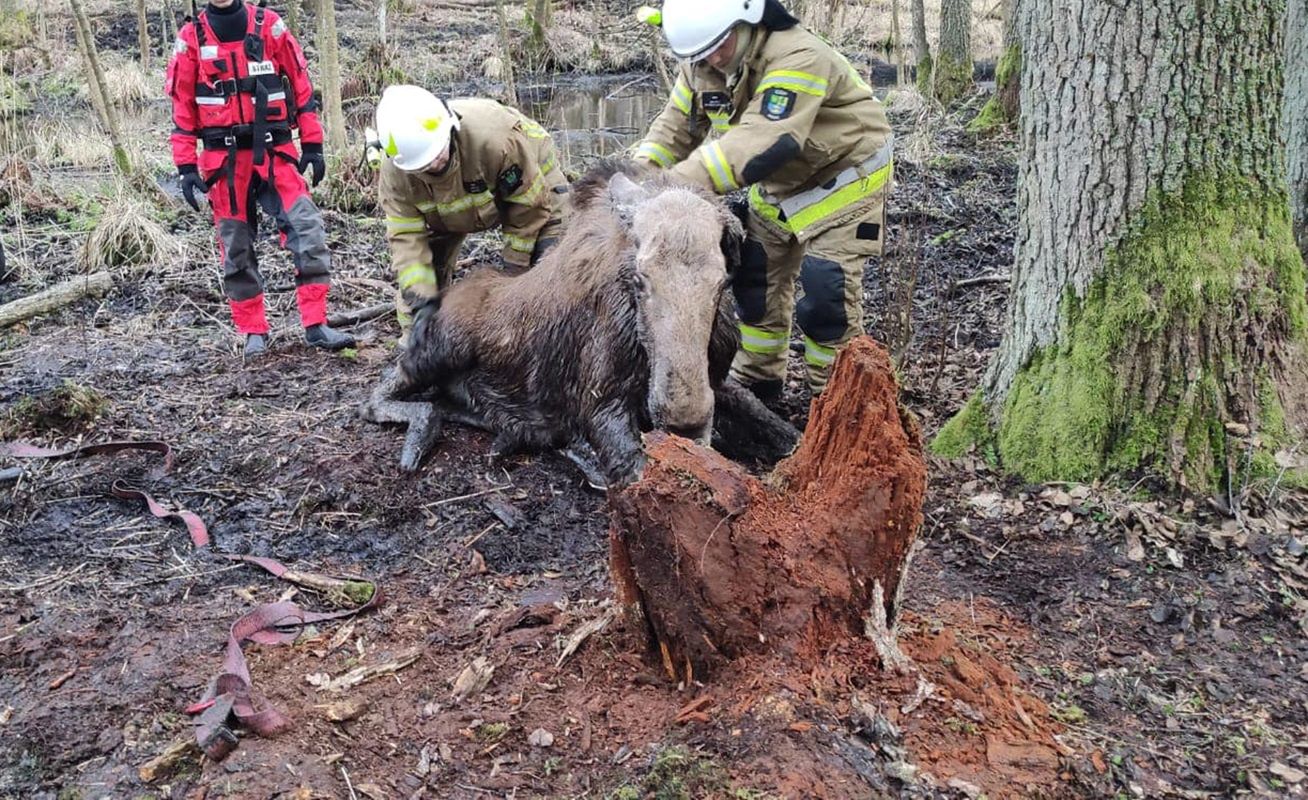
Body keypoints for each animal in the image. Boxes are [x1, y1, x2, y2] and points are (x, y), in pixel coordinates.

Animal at [358, 161, 795, 483]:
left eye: (723, 281)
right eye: (640, 277)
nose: (684, 420)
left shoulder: (717, 378)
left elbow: (773, 422)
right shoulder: (600, 402)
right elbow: (636, 470)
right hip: (441, 348)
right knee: (378, 393)